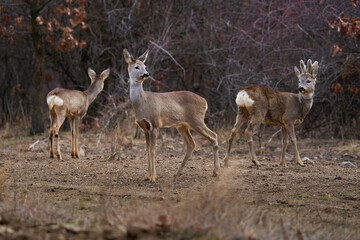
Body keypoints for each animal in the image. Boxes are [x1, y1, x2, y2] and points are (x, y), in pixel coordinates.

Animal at [123, 48, 219, 182]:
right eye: (137, 67)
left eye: (145, 66)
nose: (146, 74)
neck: (142, 102)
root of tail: (205, 102)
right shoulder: (145, 128)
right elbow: (147, 150)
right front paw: (146, 176)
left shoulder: (155, 124)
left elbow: (152, 150)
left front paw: (153, 177)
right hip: (182, 126)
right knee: (191, 144)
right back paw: (177, 173)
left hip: (197, 121)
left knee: (213, 136)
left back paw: (216, 172)